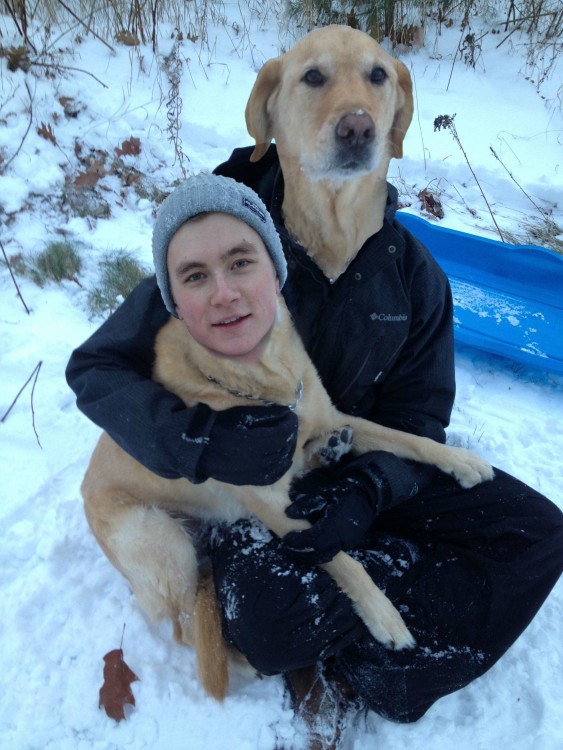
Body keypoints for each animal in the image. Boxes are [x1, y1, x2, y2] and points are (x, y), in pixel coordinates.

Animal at [82, 26, 494, 704]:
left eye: (377, 75)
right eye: (313, 76)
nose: (358, 127)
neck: (271, 380)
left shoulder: (335, 411)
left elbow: (410, 438)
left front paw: (459, 461)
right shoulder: (278, 509)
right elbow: (340, 557)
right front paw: (384, 617)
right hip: (164, 545)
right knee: (181, 625)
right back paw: (240, 662)